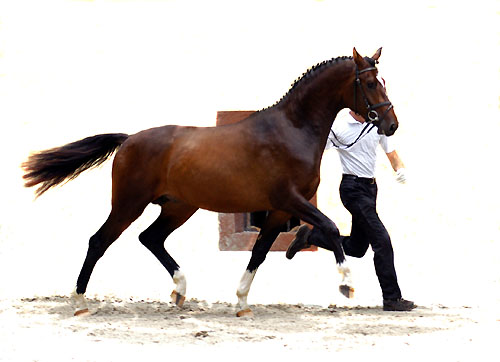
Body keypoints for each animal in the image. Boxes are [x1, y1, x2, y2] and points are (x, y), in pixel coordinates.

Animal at [22, 48, 398, 316]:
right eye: (369, 83)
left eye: (382, 81)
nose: (391, 125)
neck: (291, 130)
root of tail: (129, 140)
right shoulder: (289, 200)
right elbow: (331, 227)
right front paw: (347, 284)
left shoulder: (278, 210)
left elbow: (260, 251)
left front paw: (242, 303)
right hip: (129, 203)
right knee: (99, 241)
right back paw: (79, 302)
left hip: (178, 207)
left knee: (150, 238)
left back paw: (180, 290)